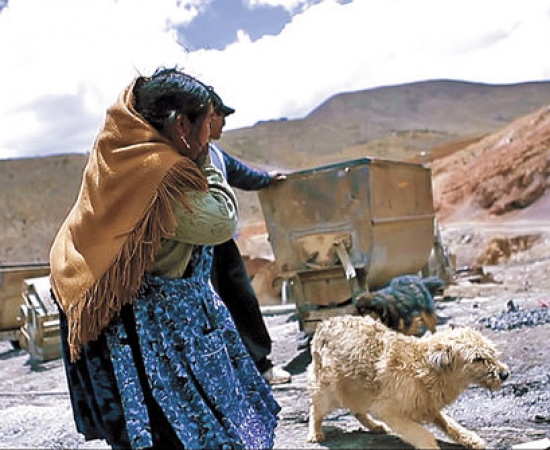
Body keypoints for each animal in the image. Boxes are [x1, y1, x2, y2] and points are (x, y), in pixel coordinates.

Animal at [308, 314, 512, 448]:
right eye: (477, 358)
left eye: (492, 353)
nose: (505, 374)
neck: (425, 369)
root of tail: (323, 324)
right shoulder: (387, 411)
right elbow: (423, 435)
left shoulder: (428, 406)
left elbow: (449, 425)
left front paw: (470, 439)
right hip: (329, 389)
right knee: (316, 409)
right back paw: (315, 433)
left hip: (357, 388)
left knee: (356, 410)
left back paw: (374, 426)